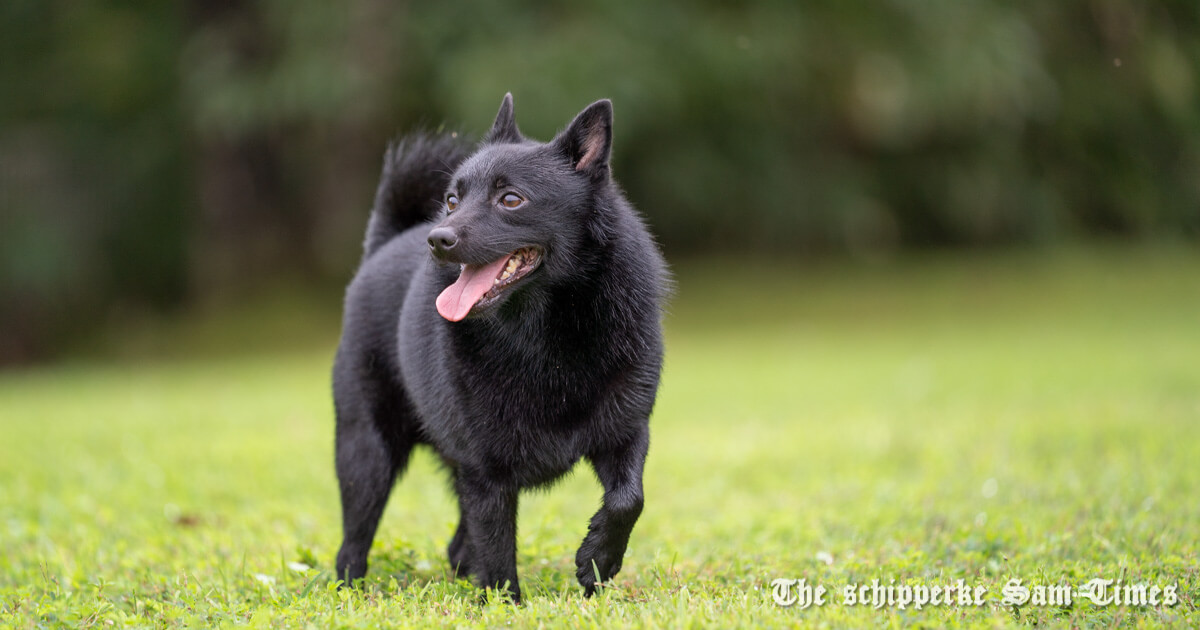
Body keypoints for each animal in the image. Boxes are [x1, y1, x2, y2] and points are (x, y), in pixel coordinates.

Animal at [333, 93, 667, 600]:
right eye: (452, 200)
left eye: (511, 199)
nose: (438, 239)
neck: (545, 338)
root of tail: (384, 245)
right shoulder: (484, 470)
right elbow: (496, 546)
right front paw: (506, 603)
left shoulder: (626, 431)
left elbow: (630, 499)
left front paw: (598, 560)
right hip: (365, 450)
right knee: (355, 538)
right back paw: (349, 589)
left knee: (457, 543)